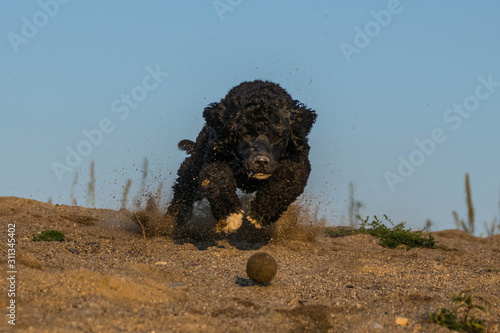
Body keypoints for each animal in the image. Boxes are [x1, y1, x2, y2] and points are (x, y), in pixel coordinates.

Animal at [167, 79, 316, 232]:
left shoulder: (297, 162)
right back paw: (172, 220)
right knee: (183, 190)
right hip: (194, 166)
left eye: (278, 136)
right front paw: (231, 216)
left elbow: (284, 184)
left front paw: (260, 214)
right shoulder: (215, 158)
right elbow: (218, 179)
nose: (261, 161)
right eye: (247, 134)